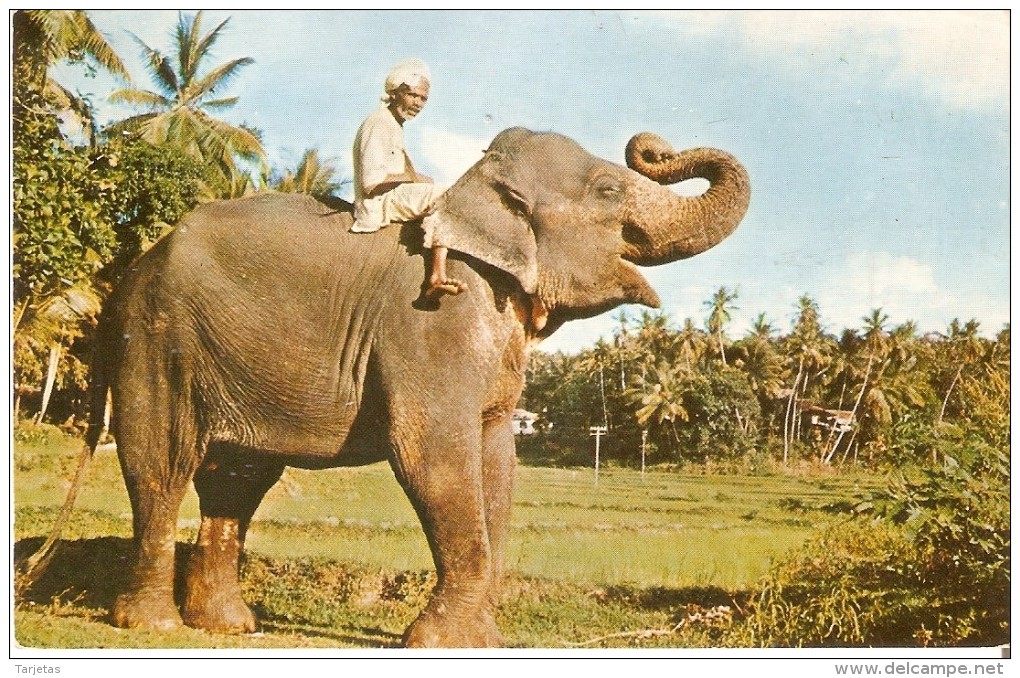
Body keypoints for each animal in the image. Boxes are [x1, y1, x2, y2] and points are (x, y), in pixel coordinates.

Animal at [89, 125, 750, 644]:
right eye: (609, 190)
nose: (654, 146)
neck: (469, 194)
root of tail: (135, 268)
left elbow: (497, 460)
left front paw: (484, 640)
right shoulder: (431, 322)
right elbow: (431, 455)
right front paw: (440, 642)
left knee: (236, 479)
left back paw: (228, 625)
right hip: (158, 338)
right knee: (161, 462)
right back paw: (152, 625)